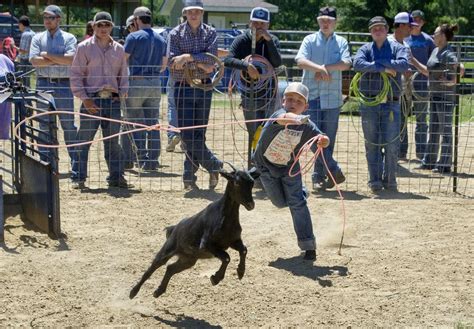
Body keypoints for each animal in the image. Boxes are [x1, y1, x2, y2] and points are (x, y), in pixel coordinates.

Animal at [129, 165, 260, 298]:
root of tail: (174, 228)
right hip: (167, 250)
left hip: (188, 259)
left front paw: (240, 272)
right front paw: (215, 278)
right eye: (237, 182)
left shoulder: (233, 241)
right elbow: (227, 257)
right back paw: (133, 292)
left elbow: (243, 250)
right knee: (152, 268)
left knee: (170, 268)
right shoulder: (207, 245)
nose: (251, 204)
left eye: (252, 182)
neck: (225, 218)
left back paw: (158, 291)